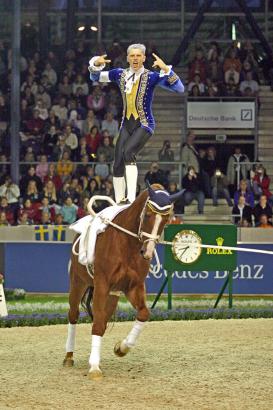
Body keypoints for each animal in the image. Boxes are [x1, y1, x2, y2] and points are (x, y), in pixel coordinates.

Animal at [62, 184, 181, 380]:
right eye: (148, 215)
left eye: (166, 219)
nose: (147, 252)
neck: (127, 245)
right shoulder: (102, 284)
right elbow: (96, 323)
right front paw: (94, 367)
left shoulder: (134, 287)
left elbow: (143, 314)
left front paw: (122, 348)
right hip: (78, 284)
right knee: (74, 315)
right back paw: (69, 357)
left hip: (113, 295)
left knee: (103, 320)